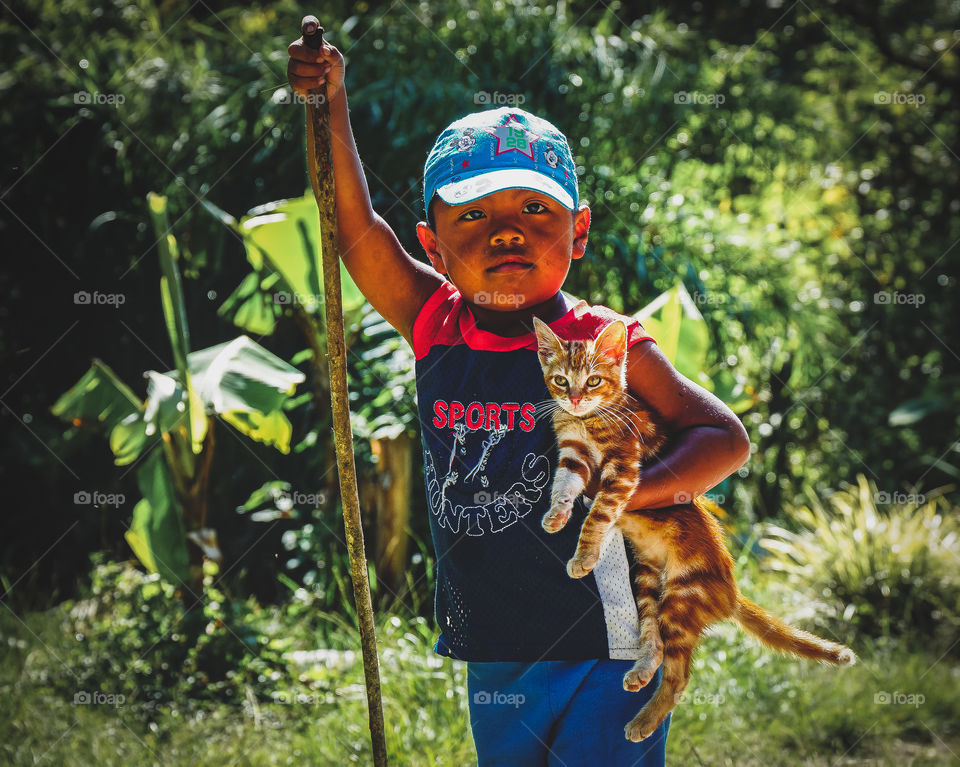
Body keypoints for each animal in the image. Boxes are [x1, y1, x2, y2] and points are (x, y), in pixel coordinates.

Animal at [532, 316, 856, 744]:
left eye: (593, 381)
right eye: (561, 380)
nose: (573, 400)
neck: (587, 420)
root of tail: (729, 589)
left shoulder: (623, 466)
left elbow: (599, 512)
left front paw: (584, 555)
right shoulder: (574, 454)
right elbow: (564, 484)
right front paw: (556, 515)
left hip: (682, 598)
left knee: (679, 677)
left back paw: (643, 721)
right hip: (646, 578)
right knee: (653, 638)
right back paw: (640, 672)